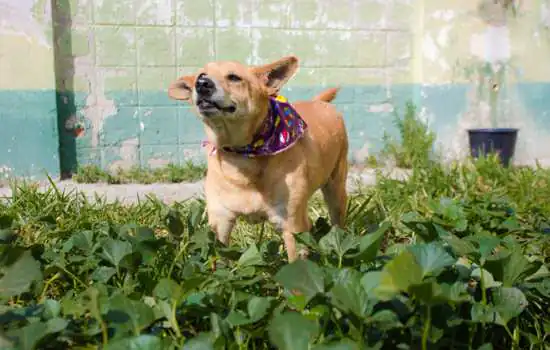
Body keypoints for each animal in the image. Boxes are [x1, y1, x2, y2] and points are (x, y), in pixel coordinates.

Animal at [168, 55, 350, 262]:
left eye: (234, 77)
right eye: (200, 75)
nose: (202, 84)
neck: (243, 156)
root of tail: (319, 102)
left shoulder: (291, 225)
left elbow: (294, 263)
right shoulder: (220, 222)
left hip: (335, 190)